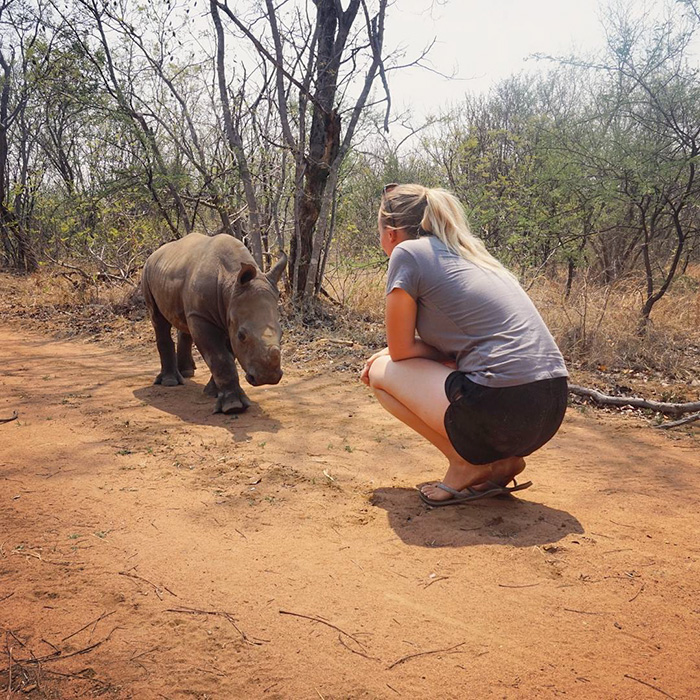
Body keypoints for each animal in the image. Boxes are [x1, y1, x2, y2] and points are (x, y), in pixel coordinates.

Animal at [142, 233, 286, 414]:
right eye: (242, 336)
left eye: (282, 333)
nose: (268, 378)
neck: (230, 284)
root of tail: (154, 254)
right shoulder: (203, 317)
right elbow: (220, 358)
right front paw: (233, 407)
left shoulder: (229, 315)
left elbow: (228, 355)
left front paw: (212, 392)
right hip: (147, 272)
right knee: (158, 319)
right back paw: (170, 382)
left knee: (184, 322)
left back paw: (187, 372)